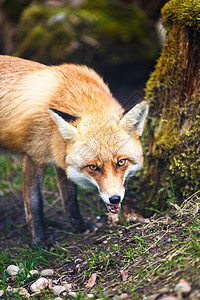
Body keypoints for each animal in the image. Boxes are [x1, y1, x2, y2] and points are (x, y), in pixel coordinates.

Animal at [0, 55, 148, 244]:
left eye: (121, 162)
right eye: (93, 167)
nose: (114, 198)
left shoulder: (61, 159)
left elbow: (71, 200)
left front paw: (80, 227)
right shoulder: (34, 157)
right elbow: (35, 204)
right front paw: (40, 242)